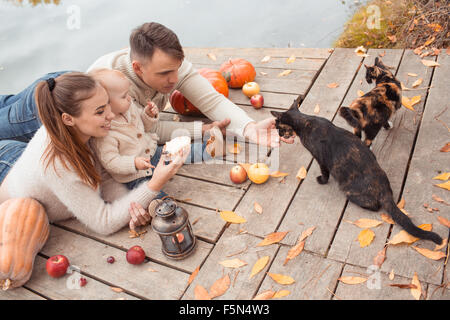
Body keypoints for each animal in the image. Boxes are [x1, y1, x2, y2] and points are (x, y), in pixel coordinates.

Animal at [270, 101, 442, 246]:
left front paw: (322, 180)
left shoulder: (320, 159)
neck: (305, 122)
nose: (279, 134)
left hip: (349, 191)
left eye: (279, 127)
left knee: (373, 205)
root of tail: (385, 190)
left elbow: (324, 172)